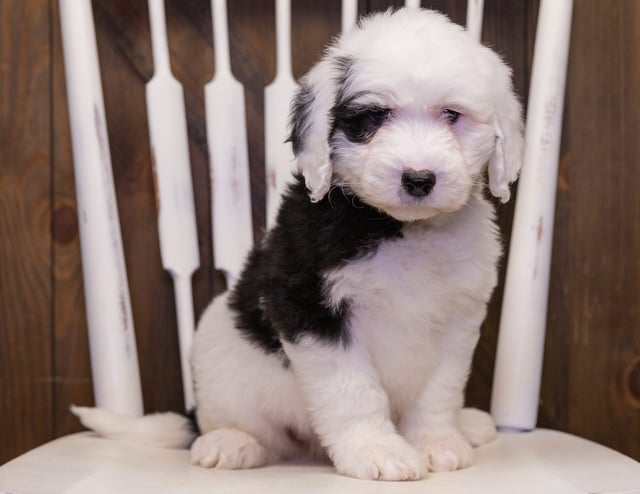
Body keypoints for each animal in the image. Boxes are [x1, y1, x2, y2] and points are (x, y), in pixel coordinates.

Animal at [72, 5, 524, 480]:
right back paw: (230, 442)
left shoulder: (459, 317)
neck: (398, 227)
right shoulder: (309, 304)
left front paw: (436, 441)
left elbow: (439, 390)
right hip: (221, 351)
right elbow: (351, 390)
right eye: (373, 118)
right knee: (231, 421)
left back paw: (468, 424)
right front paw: (376, 450)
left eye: (452, 115)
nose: (419, 179)